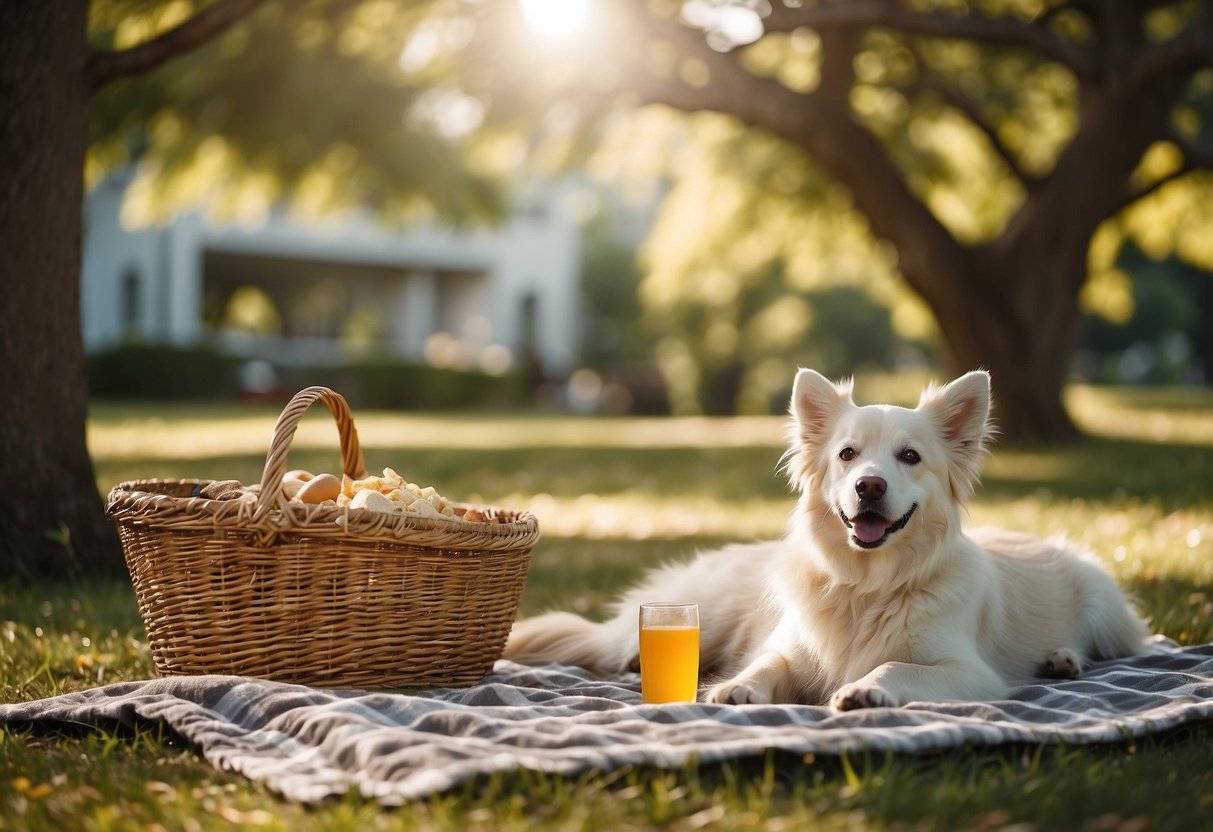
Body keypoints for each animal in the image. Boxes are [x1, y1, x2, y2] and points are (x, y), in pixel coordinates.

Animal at [507, 371, 1149, 708]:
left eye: (910, 457)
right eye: (846, 454)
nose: (869, 485)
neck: (866, 585)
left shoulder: (970, 673)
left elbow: (896, 667)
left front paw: (866, 690)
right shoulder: (793, 649)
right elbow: (766, 663)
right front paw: (736, 686)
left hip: (1103, 604)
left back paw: (1062, 658)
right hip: (702, 613)